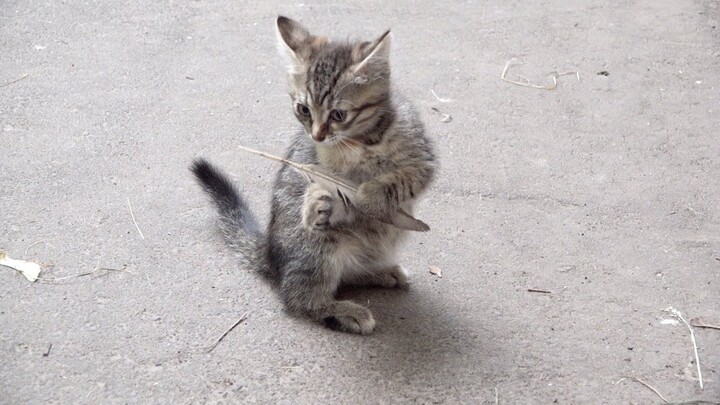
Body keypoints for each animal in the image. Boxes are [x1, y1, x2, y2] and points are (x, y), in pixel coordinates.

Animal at [191, 15, 436, 332]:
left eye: (339, 114)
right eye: (303, 110)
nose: (317, 135)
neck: (363, 141)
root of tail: (271, 252)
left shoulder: (423, 163)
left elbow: (400, 180)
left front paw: (368, 195)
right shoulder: (319, 168)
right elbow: (321, 186)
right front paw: (317, 201)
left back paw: (380, 272)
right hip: (319, 247)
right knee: (296, 299)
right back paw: (344, 310)